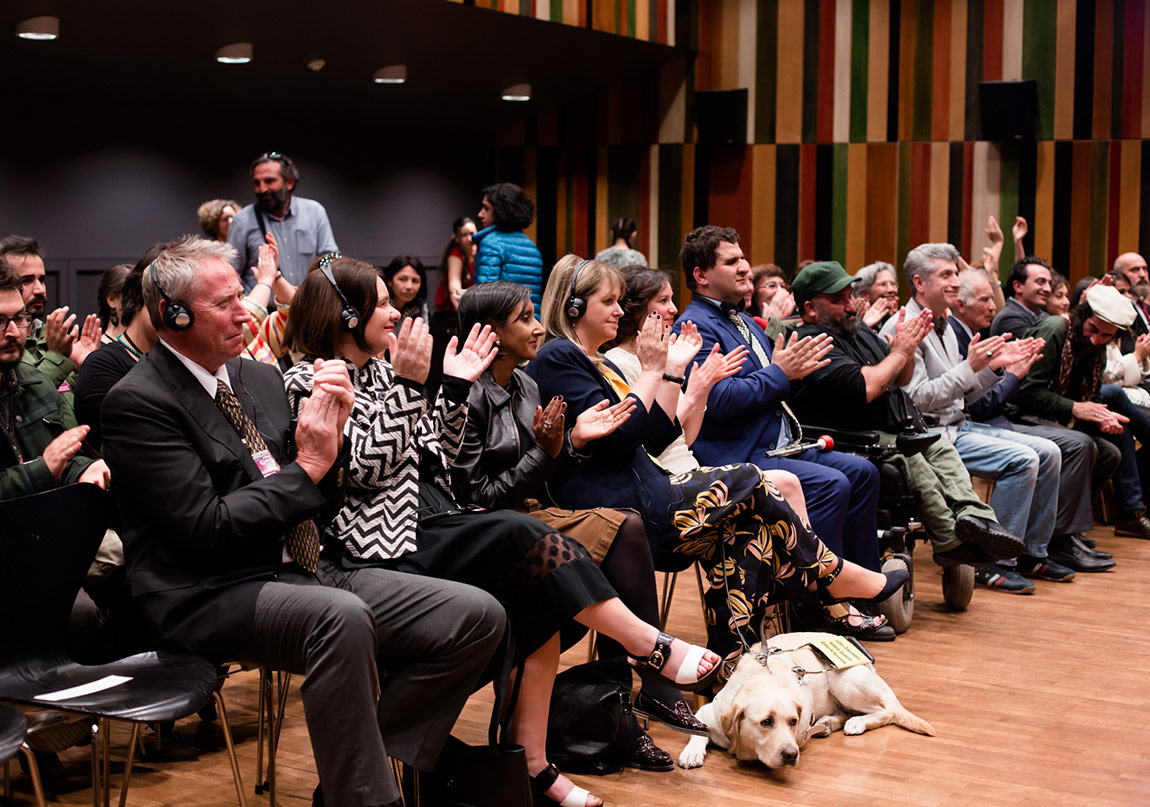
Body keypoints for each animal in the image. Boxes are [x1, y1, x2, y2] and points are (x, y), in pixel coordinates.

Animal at [671, 634, 933, 772]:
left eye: (793, 722)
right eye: (766, 722)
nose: (791, 754)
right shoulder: (706, 712)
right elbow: (698, 730)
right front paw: (692, 752)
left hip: (845, 682)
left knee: (887, 710)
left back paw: (857, 722)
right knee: (846, 713)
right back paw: (828, 723)